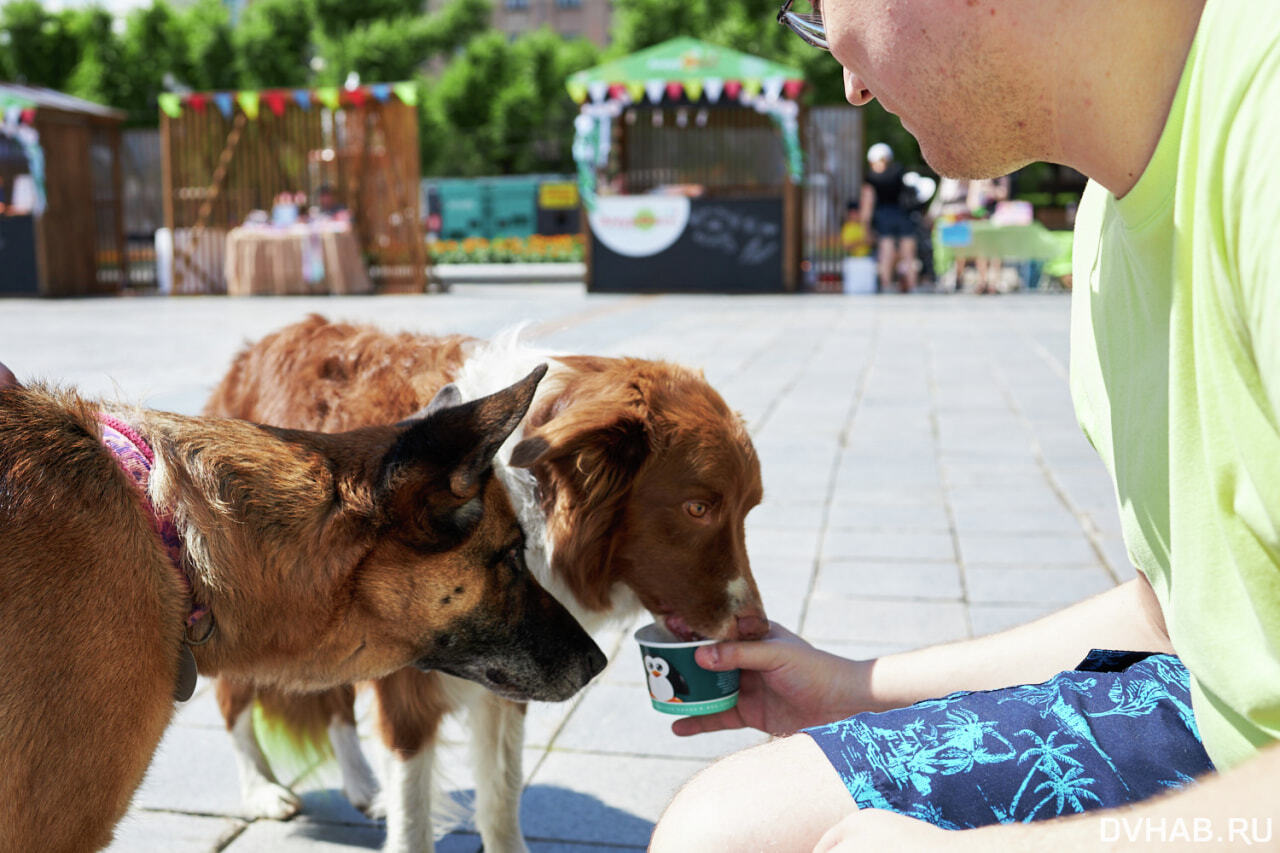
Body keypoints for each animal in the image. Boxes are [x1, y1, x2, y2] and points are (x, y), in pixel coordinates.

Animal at [206, 317, 768, 850]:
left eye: (748, 509)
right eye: (697, 509)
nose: (757, 630)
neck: (528, 492)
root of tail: (258, 346)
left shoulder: (520, 669)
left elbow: (500, 794)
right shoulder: (410, 687)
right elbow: (414, 818)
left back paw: (364, 785)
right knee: (236, 701)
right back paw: (261, 788)